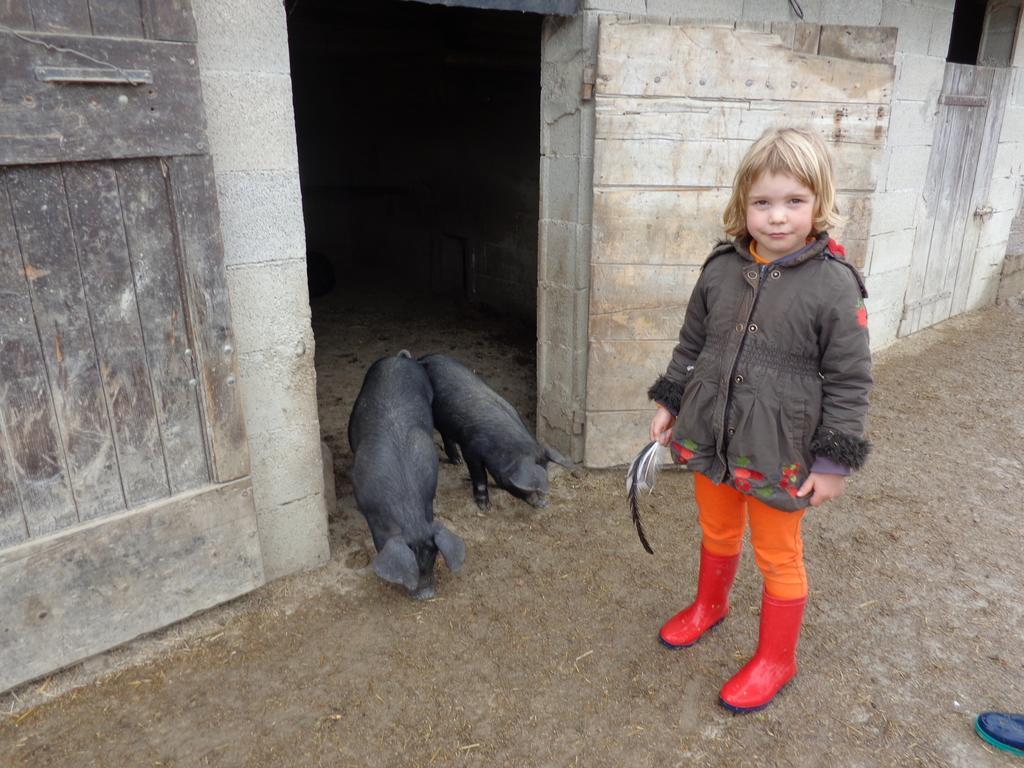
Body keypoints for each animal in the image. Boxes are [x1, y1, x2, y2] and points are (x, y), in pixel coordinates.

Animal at [417, 354, 577, 512]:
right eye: (527, 489)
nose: (544, 504)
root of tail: (423, 359)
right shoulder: (471, 449)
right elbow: (480, 477)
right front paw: (485, 508)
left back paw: (457, 461)